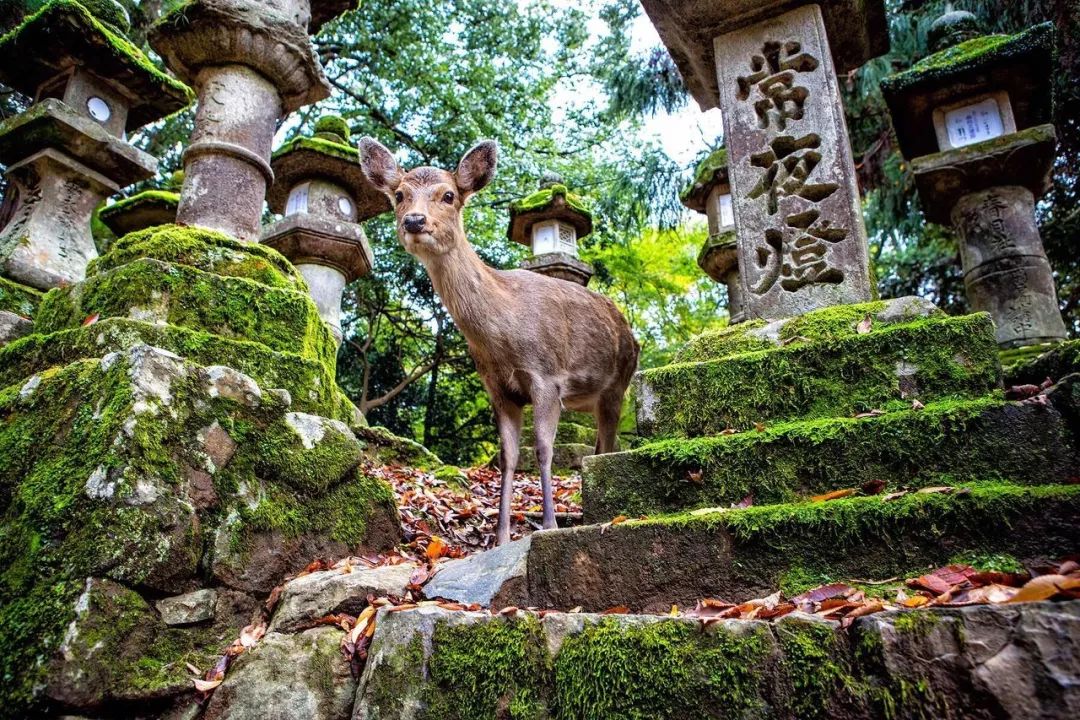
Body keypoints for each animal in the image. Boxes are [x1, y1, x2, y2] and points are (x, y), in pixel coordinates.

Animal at [358, 138, 639, 546]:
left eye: (448, 195)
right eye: (399, 195)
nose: (414, 221)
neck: (503, 340)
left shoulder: (546, 376)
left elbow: (543, 449)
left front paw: (549, 525)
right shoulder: (498, 388)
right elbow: (508, 457)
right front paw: (501, 536)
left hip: (619, 383)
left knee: (608, 444)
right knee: (600, 446)